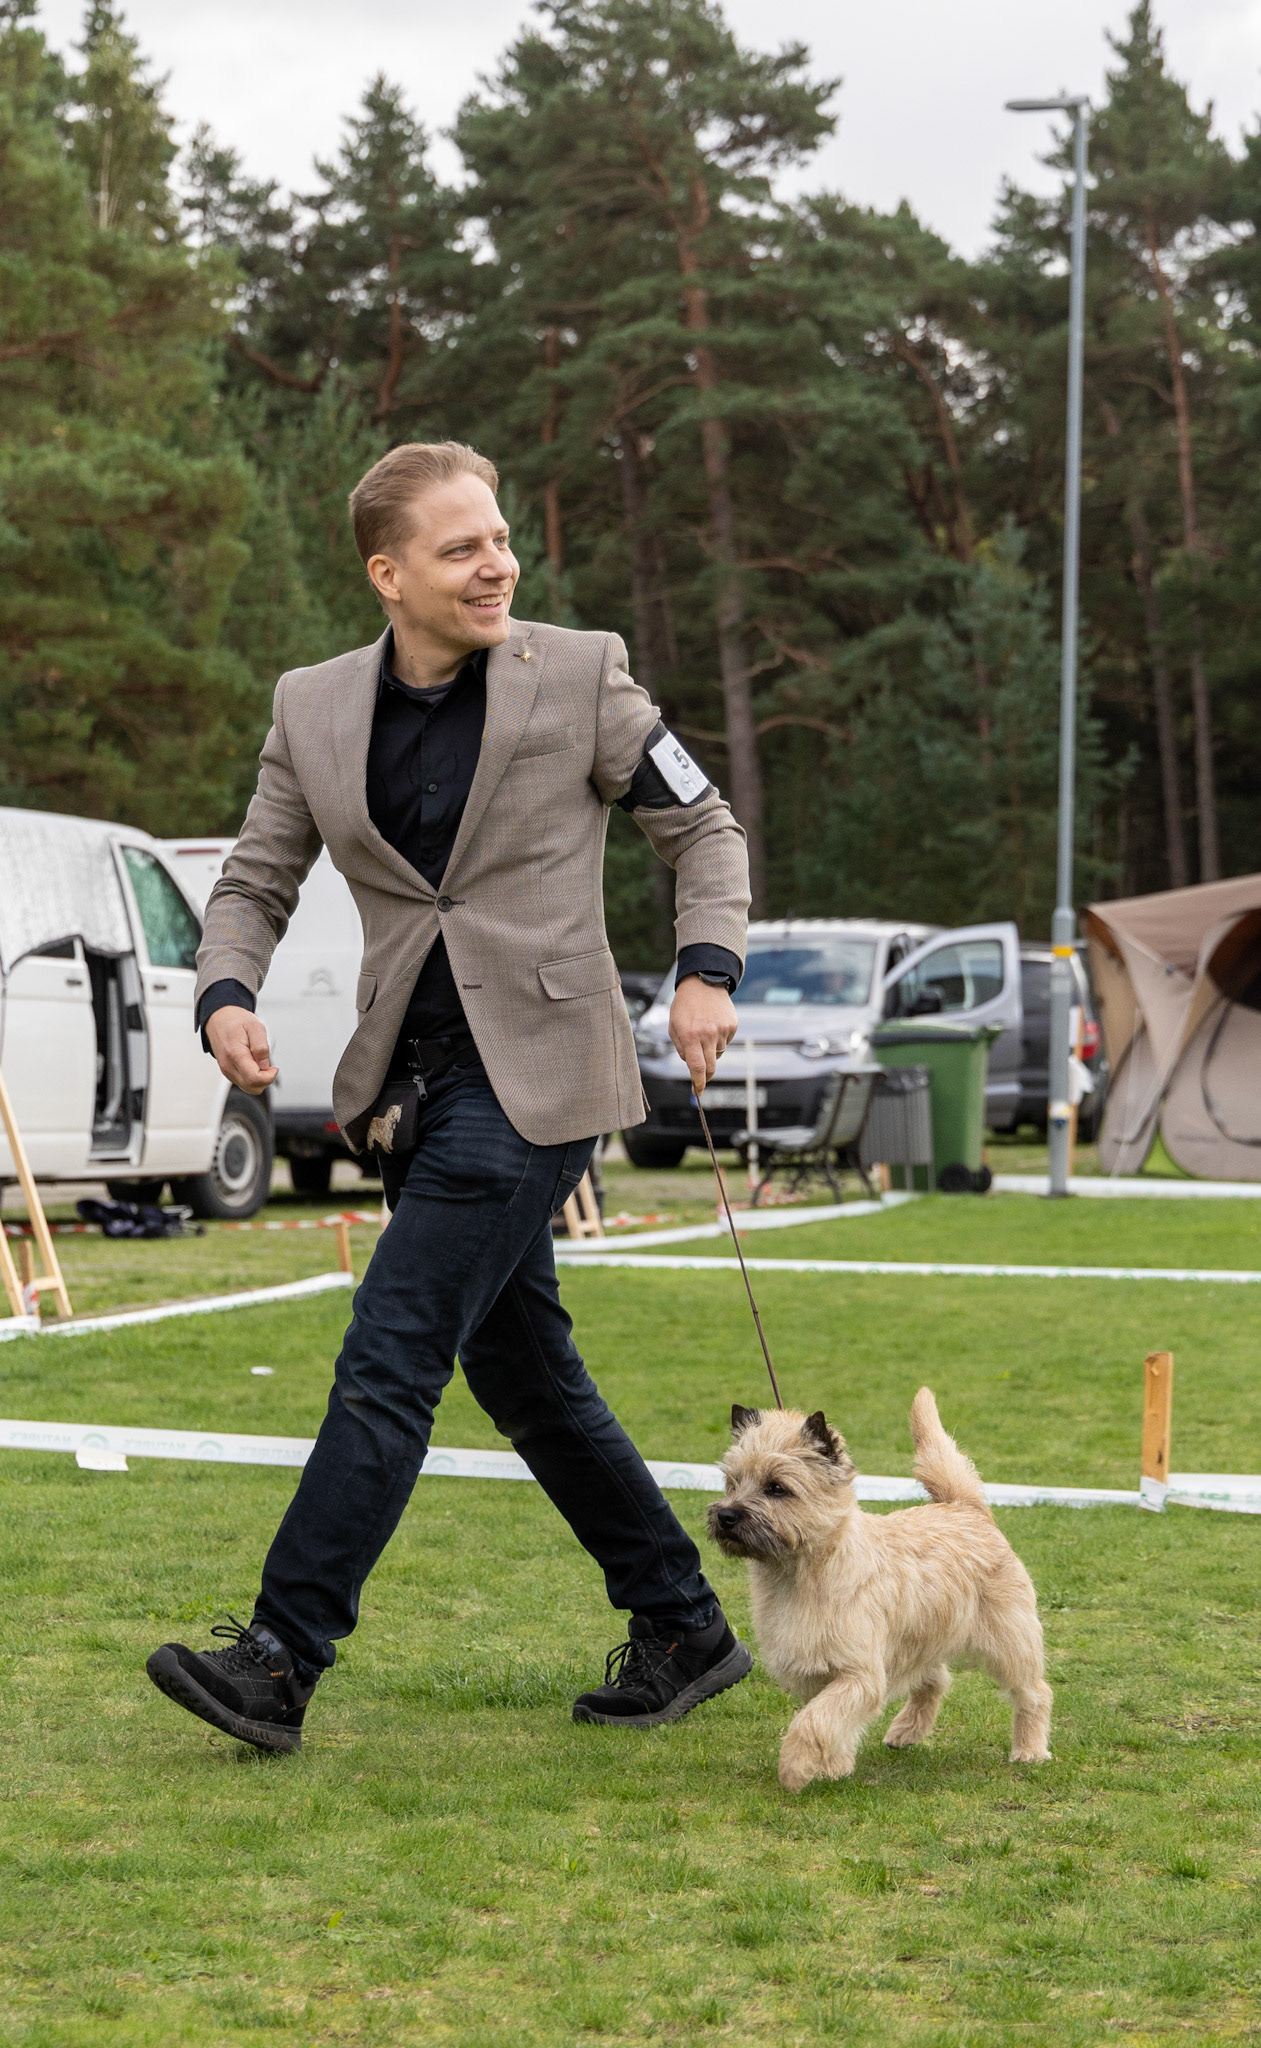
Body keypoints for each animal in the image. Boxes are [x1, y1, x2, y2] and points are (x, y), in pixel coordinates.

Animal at [707, 1392, 1052, 1791]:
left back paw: (1029, 1750)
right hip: (920, 1636)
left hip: (1009, 1640)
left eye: (776, 1487)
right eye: (732, 1482)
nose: (726, 1516)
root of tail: (966, 1508)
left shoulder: (858, 1674)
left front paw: (795, 1767)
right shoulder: (820, 1672)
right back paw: (906, 1731)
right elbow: (830, 1723)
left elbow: (814, 1721)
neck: (800, 1575)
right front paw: (834, 1766)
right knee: (935, 1678)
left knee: (1033, 1692)